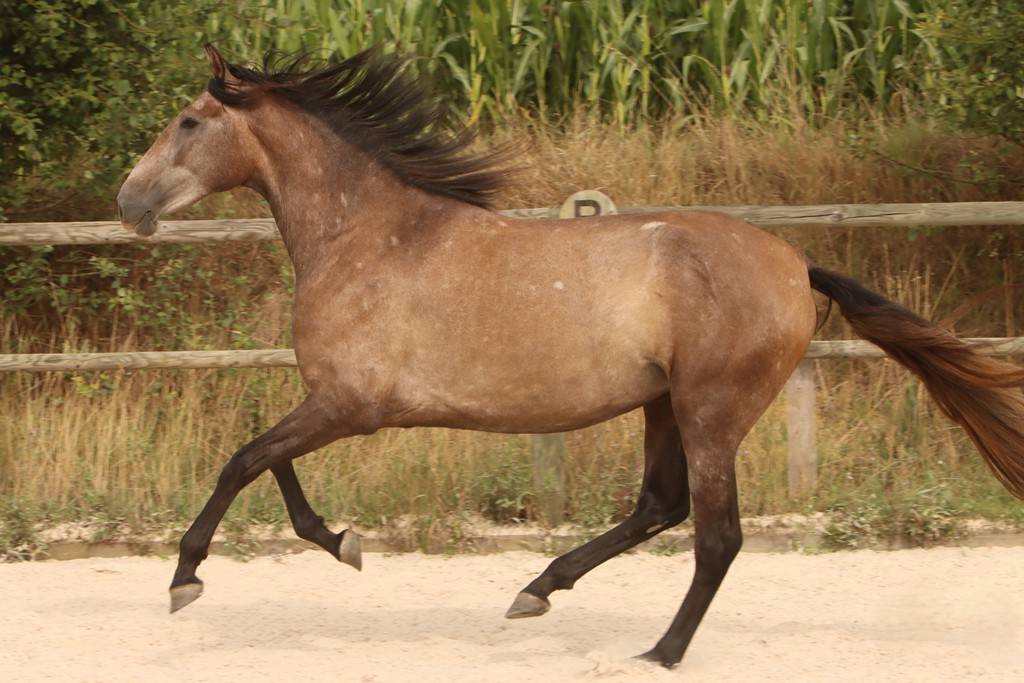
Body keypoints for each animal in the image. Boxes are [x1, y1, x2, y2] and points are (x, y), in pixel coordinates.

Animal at [115, 44, 1024, 668]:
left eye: (189, 120)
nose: (128, 202)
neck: (368, 235)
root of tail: (796, 265)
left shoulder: (349, 405)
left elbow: (243, 460)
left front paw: (185, 578)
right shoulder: (336, 404)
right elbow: (272, 468)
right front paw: (341, 540)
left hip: (711, 410)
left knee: (716, 534)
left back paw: (659, 651)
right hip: (663, 404)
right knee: (660, 505)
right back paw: (538, 590)